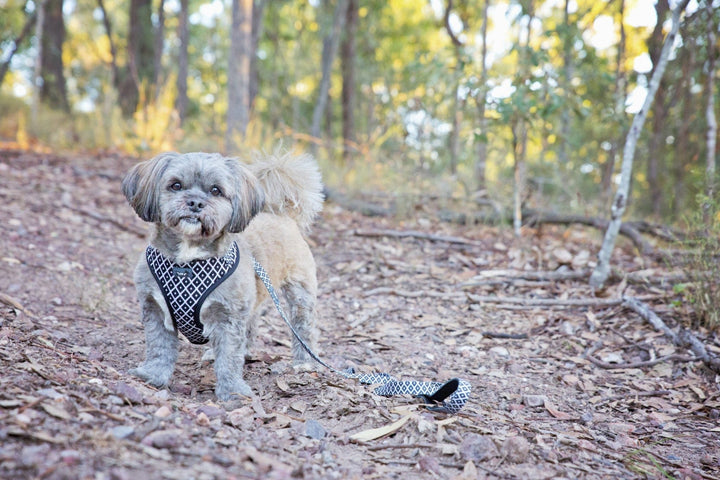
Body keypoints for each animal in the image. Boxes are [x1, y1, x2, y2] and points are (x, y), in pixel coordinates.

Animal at [121, 150, 324, 402]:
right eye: (176, 185)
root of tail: (282, 214)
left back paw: (304, 362)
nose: (195, 202)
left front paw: (232, 389)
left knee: (303, 325)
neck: (187, 264)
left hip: (299, 293)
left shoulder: (228, 317)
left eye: (216, 190)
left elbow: (229, 357)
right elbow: (159, 347)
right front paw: (152, 374)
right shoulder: (155, 309)